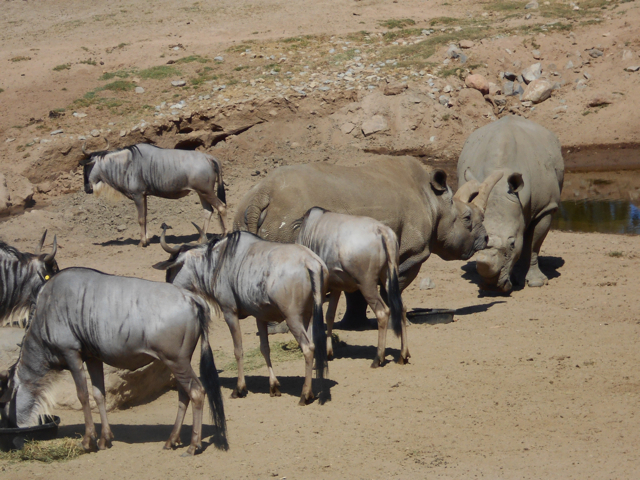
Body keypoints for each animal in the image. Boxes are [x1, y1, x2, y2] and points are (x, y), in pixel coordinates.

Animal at [233, 156, 502, 327]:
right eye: (467, 219)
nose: (485, 238)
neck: (435, 203)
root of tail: (263, 194)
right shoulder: (411, 253)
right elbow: (393, 286)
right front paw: (401, 320)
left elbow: (357, 292)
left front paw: (354, 323)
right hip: (289, 218)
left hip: (244, 211)